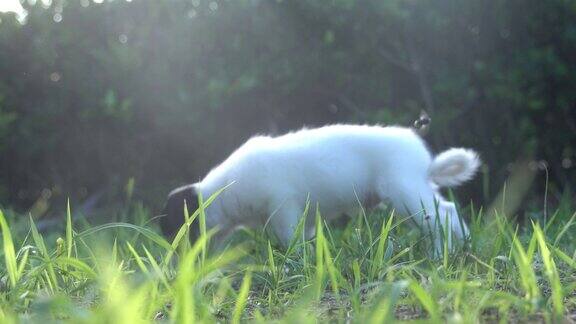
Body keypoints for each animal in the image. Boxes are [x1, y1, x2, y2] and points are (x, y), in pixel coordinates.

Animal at [163, 124, 482, 251]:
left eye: (176, 222)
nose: (171, 252)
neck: (223, 191)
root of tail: (425, 162)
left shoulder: (284, 210)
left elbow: (289, 243)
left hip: (406, 194)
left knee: (441, 218)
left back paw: (440, 254)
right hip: (415, 192)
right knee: (449, 211)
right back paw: (463, 247)